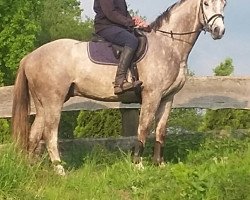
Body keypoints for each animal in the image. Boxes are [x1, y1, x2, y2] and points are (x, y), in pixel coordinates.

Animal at [11, 0, 227, 175]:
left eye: (224, 4)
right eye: (206, 3)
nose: (219, 31)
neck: (168, 45)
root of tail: (30, 57)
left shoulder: (167, 98)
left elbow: (161, 131)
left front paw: (159, 164)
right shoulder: (152, 96)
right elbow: (143, 127)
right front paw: (138, 164)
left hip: (43, 104)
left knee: (34, 133)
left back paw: (32, 168)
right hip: (53, 101)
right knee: (49, 134)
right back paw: (60, 170)